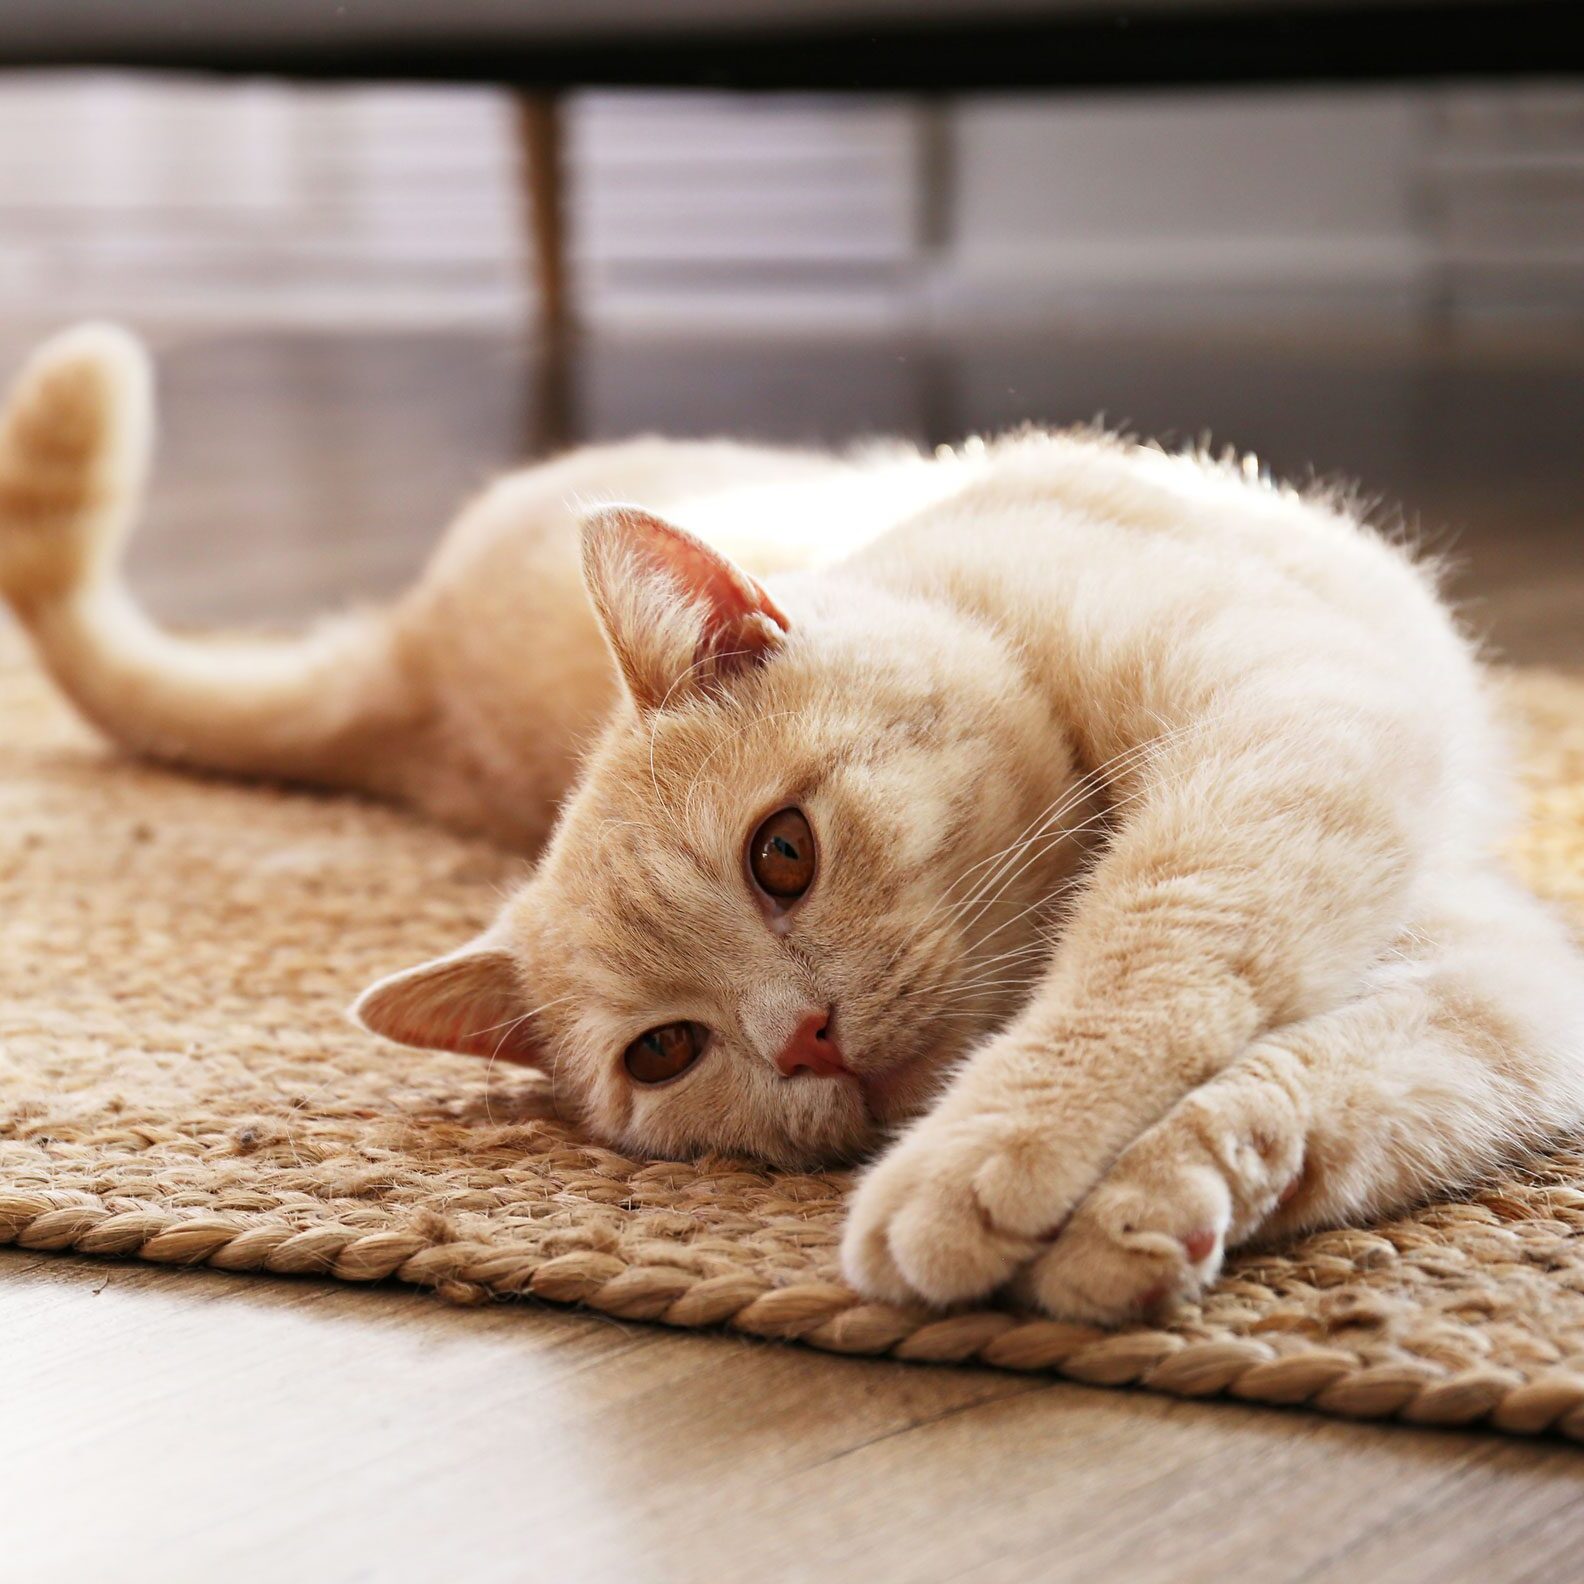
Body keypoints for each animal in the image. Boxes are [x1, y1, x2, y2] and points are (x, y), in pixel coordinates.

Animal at [3, 324, 1584, 1324]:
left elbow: (1154, 957)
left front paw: (989, 1164)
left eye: (783, 854)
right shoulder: (1499, 986)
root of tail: (408, 656)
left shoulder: (1293, 727)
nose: (806, 1040)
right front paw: (1140, 1209)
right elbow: (1327, 1088)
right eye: (667, 1052)